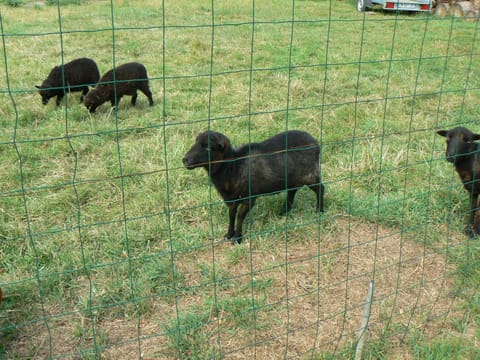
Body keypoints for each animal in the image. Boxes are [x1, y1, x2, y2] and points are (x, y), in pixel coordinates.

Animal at [182, 130, 324, 245]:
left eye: (208, 148)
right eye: (196, 143)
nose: (185, 160)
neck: (233, 167)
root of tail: (315, 142)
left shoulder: (248, 198)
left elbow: (240, 216)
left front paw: (237, 238)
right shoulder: (231, 198)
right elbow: (231, 215)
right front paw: (228, 235)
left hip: (310, 175)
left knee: (320, 189)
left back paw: (319, 210)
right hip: (293, 178)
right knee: (292, 191)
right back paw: (284, 212)